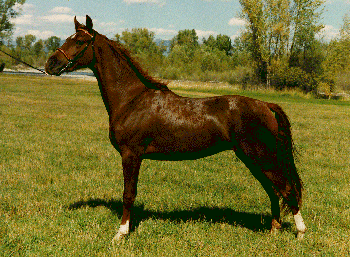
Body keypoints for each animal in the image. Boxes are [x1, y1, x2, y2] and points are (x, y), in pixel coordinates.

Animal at [45, 15, 306, 241]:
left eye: (79, 41)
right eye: (68, 38)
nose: (50, 64)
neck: (131, 99)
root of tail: (266, 105)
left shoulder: (131, 155)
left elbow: (128, 194)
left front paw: (121, 234)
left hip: (262, 157)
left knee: (286, 189)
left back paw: (300, 233)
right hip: (252, 159)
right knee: (274, 190)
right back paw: (274, 229)